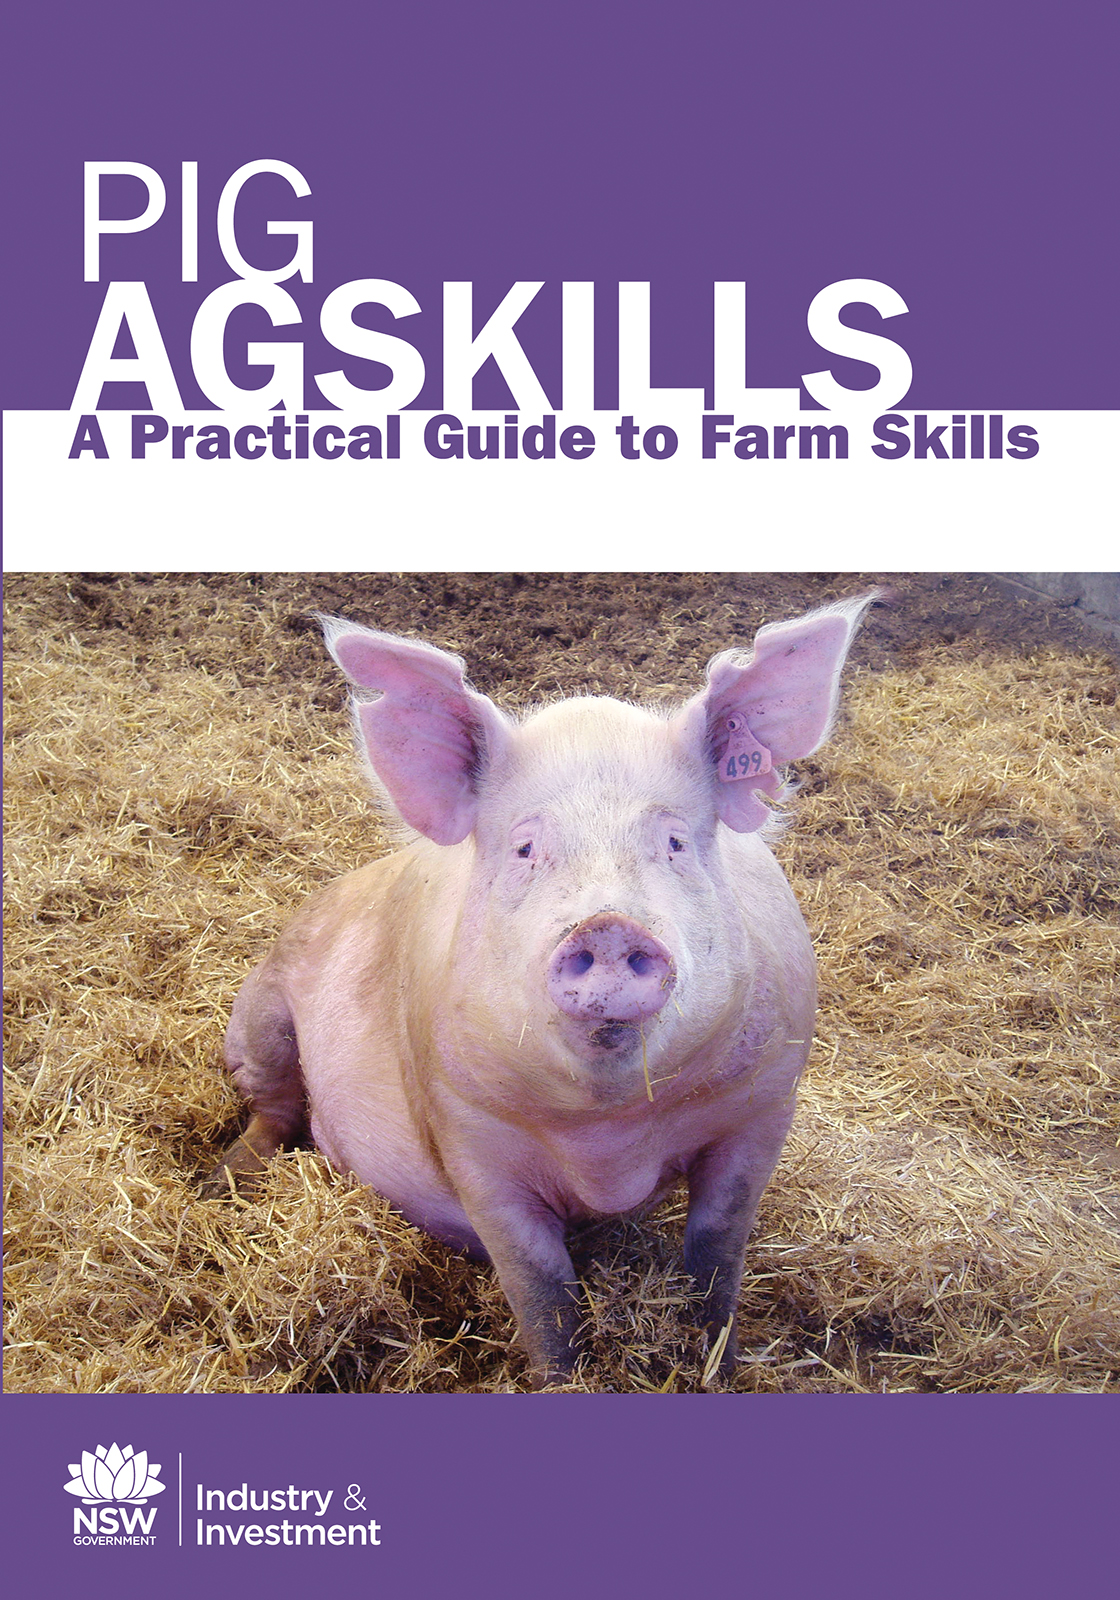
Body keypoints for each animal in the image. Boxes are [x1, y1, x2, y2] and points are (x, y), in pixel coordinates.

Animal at [208, 594, 876, 1384]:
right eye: (526, 847)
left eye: (676, 843)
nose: (609, 925)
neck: (607, 1137)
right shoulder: (467, 1133)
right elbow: (540, 1287)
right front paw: (563, 1377)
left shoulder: (766, 1103)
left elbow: (718, 1250)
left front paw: (719, 1368)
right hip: (260, 1015)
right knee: (275, 1111)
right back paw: (220, 1182)